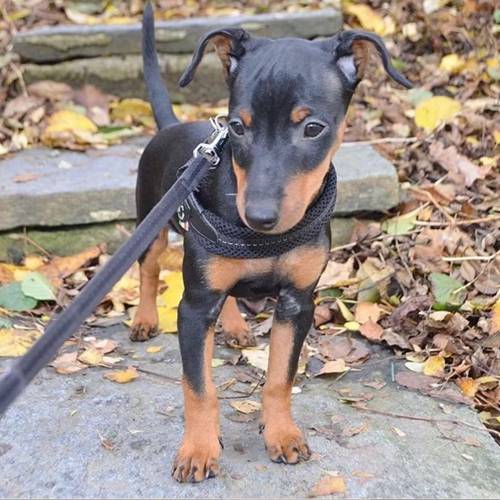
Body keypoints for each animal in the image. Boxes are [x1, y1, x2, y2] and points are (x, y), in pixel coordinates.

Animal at [132, 3, 411, 483]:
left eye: (313, 128)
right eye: (237, 127)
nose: (260, 218)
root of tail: (169, 128)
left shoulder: (298, 301)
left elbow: (281, 376)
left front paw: (281, 434)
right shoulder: (194, 306)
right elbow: (198, 386)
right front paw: (198, 449)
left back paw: (235, 327)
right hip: (152, 222)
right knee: (149, 271)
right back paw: (145, 319)